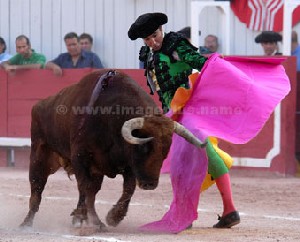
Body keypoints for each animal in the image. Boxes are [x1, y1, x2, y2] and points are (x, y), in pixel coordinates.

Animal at [19, 68, 205, 231]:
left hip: (94, 171)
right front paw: (87, 219)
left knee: (89, 193)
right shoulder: (81, 157)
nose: (150, 184)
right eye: (143, 147)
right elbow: (85, 187)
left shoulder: (127, 165)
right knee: (37, 189)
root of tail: (39, 105)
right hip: (39, 157)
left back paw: (88, 220)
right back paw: (26, 224)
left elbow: (127, 189)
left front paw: (113, 217)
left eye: (166, 152)